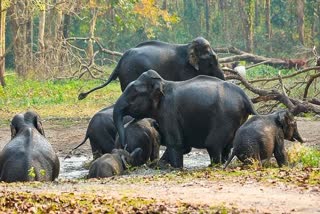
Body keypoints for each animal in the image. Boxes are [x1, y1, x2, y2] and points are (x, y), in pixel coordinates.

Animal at [112, 69, 258, 168]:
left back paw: (213, 165)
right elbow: (183, 145)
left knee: (213, 144)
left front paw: (175, 167)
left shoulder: (169, 111)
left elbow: (175, 143)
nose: (124, 145)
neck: (163, 83)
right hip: (236, 118)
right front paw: (162, 165)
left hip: (225, 117)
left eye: (134, 94)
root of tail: (245, 97)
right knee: (227, 145)